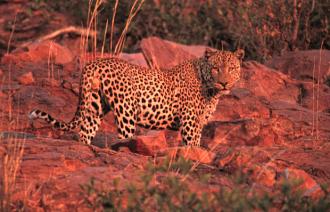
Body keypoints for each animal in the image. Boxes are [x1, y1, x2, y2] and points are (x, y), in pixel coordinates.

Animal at [29, 48, 244, 147]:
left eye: (232, 68)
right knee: (123, 136)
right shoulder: (191, 123)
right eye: (216, 68)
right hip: (125, 111)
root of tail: (94, 63)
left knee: (85, 133)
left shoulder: (198, 123)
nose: (224, 83)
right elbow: (192, 146)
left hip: (94, 106)